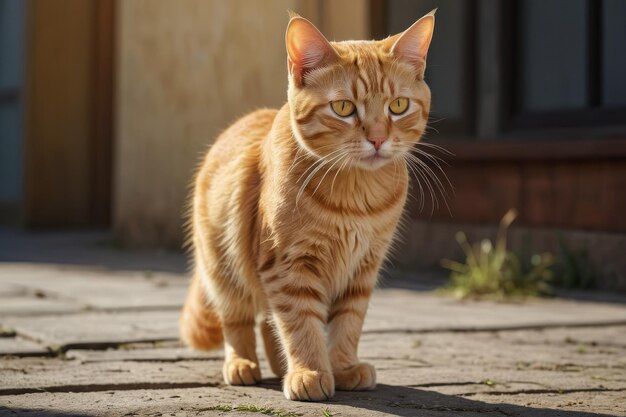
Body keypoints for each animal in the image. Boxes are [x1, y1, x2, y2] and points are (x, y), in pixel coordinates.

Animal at [180, 9, 434, 400]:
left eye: (398, 106)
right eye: (344, 108)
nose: (378, 138)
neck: (355, 199)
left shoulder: (363, 269)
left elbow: (347, 323)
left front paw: (341, 368)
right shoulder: (289, 265)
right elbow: (301, 323)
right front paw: (310, 371)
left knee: (268, 321)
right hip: (223, 268)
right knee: (239, 322)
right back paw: (243, 364)